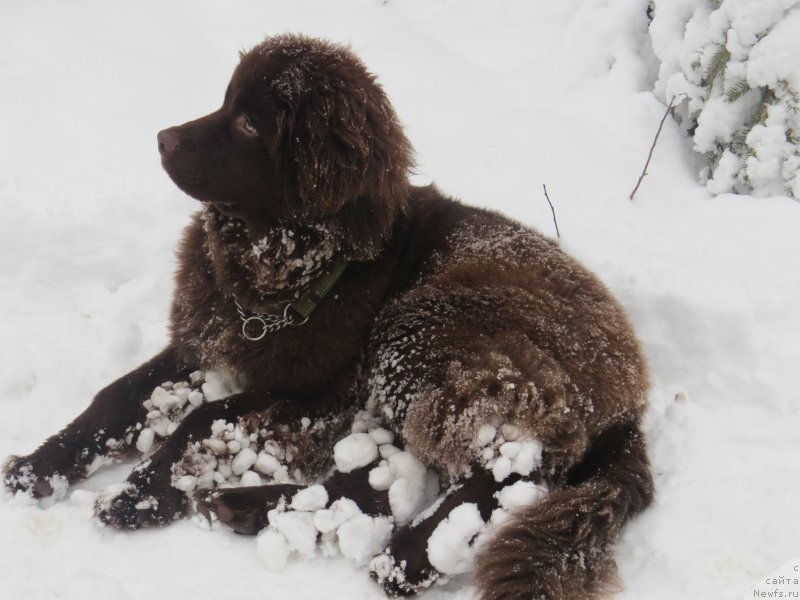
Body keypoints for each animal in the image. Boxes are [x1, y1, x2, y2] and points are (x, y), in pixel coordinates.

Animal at [3, 34, 652, 600]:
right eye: (225, 101)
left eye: (249, 124)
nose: (162, 138)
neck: (288, 271)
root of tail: (630, 394)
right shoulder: (206, 343)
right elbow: (114, 397)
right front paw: (37, 467)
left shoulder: (321, 393)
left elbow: (206, 417)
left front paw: (139, 493)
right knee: (375, 484)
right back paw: (243, 508)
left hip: (424, 329)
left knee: (505, 474)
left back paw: (404, 559)